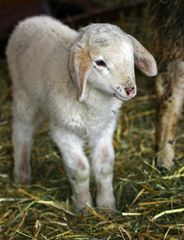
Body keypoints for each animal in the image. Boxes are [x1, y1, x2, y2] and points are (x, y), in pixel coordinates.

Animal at [6, 15, 157, 211]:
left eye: (131, 57)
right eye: (100, 63)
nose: (130, 90)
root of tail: (30, 20)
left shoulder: (104, 128)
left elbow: (105, 164)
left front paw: (107, 206)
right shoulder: (64, 131)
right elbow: (80, 169)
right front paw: (84, 207)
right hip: (23, 95)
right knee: (21, 132)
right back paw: (22, 176)